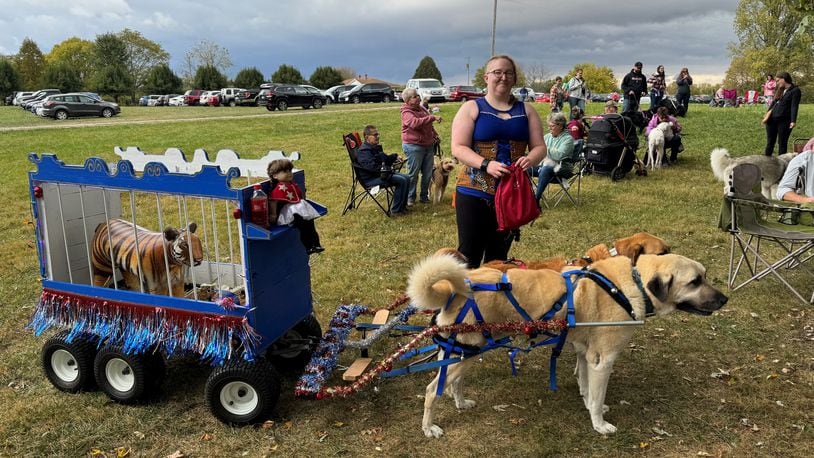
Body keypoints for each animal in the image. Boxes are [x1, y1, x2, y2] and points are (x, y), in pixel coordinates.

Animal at [406, 252, 728, 438]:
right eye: (695, 281)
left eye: (704, 276)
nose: (725, 299)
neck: (632, 284)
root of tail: (457, 287)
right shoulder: (603, 360)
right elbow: (597, 397)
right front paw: (599, 425)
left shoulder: (586, 354)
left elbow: (587, 388)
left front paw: (588, 404)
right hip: (465, 354)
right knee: (431, 391)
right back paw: (428, 428)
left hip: (465, 352)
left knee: (450, 384)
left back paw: (460, 402)